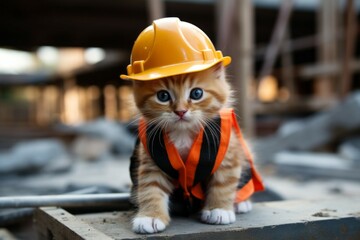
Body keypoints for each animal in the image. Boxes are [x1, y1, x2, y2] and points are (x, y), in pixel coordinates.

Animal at [129, 62, 262, 233]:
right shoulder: (153, 160)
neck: (183, 133)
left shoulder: (228, 155)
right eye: (163, 96)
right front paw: (150, 217)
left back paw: (241, 203)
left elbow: (224, 183)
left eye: (196, 93)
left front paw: (219, 209)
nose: (180, 111)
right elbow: (151, 188)